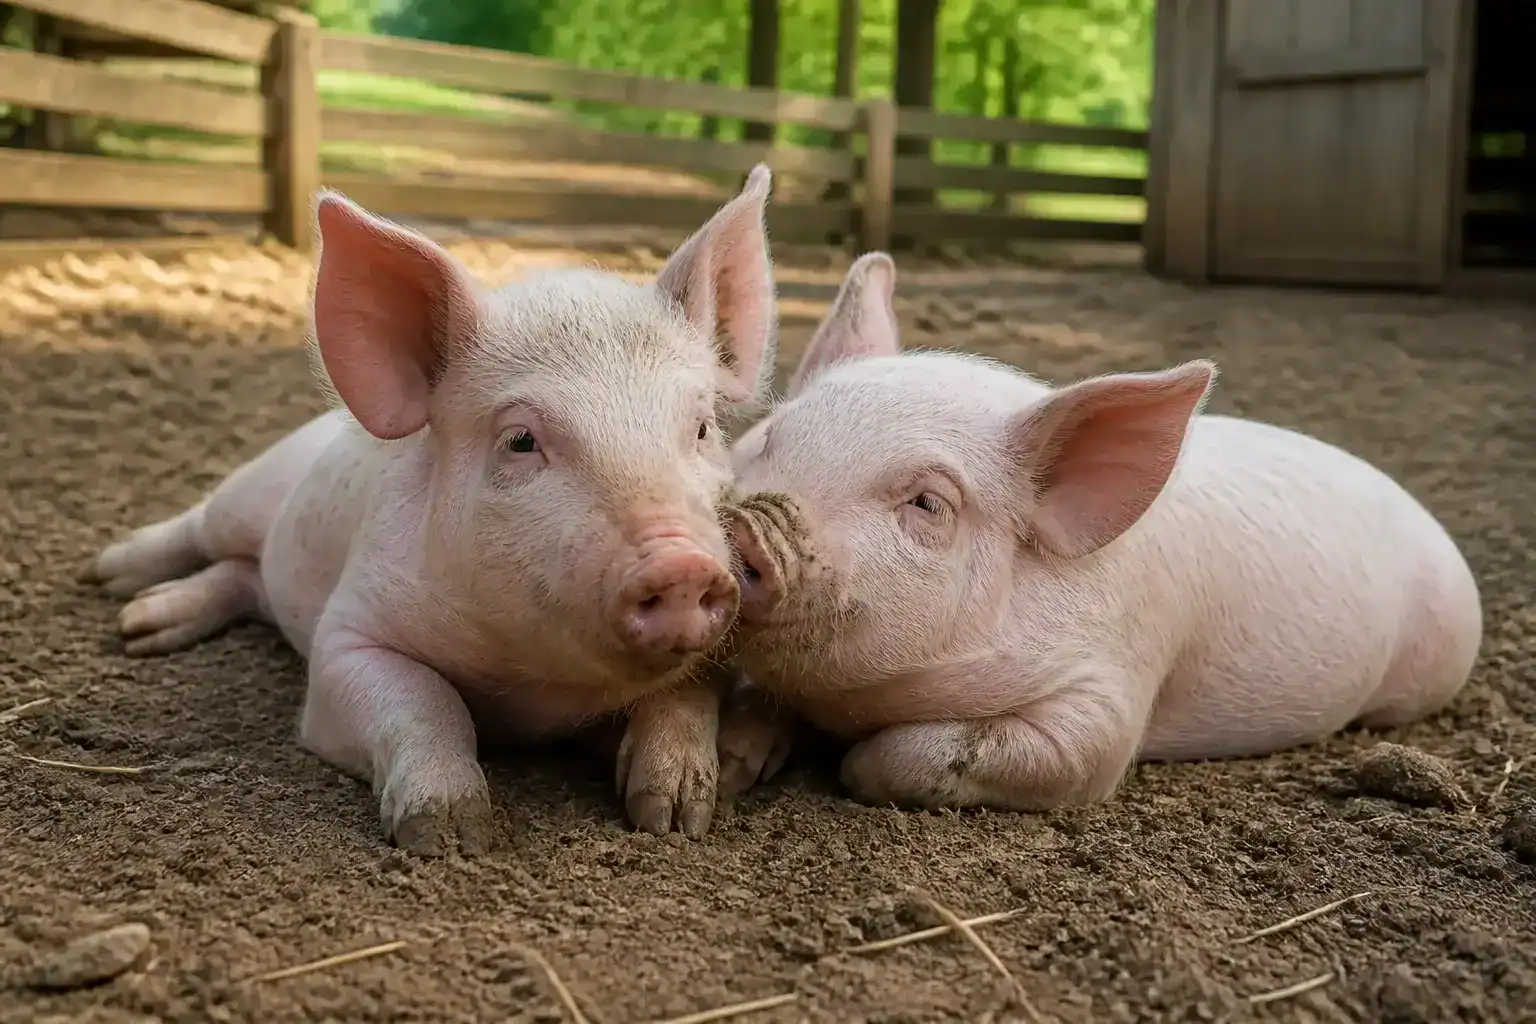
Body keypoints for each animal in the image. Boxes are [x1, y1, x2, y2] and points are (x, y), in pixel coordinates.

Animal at [86, 168, 781, 855]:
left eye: (702, 427)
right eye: (520, 440)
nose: (683, 565)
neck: (535, 694)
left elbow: (684, 695)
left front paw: (676, 817)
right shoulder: (348, 635)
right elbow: (425, 697)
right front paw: (448, 835)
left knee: (240, 574)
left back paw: (144, 622)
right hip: (248, 492)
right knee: (202, 527)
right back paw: (118, 594)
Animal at [716, 252, 1483, 813]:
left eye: (928, 503)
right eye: (771, 438)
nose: (747, 529)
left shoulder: (1110, 694)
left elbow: (1047, 754)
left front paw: (851, 767)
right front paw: (729, 768)